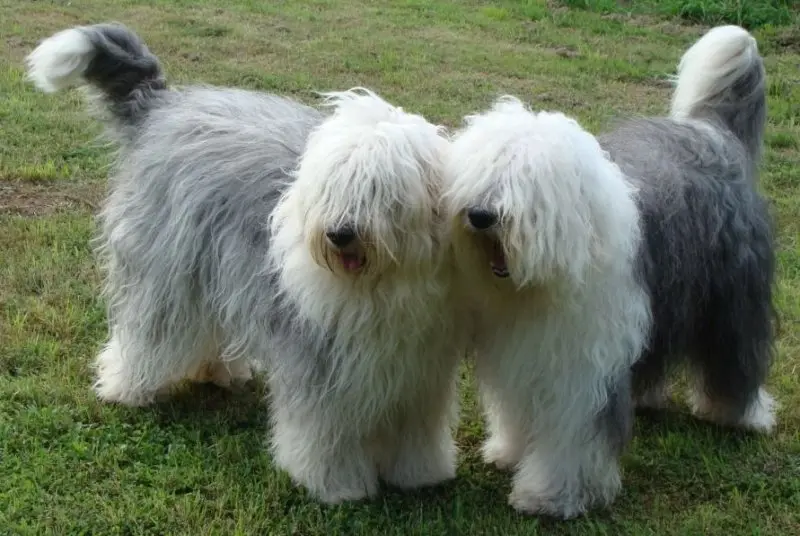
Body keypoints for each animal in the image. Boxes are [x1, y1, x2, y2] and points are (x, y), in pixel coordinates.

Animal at [26, 23, 462, 504]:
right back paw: (127, 388)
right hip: (166, 274)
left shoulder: (418, 371)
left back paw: (219, 372)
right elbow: (325, 432)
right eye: (330, 186)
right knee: (146, 333)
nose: (339, 233)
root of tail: (165, 106)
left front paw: (419, 473)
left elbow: (417, 430)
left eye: (381, 190)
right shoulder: (319, 368)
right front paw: (337, 485)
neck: (378, 285)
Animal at [444, 97, 648, 520]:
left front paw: (547, 496)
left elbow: (569, 440)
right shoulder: (522, 354)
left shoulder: (582, 377)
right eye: (481, 171)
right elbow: (518, 410)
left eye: (528, 182)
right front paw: (508, 452)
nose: (480, 215)